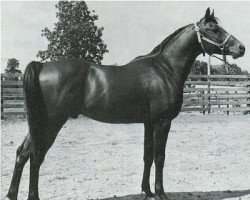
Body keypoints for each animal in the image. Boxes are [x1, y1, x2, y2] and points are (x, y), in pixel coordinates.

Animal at [5, 7, 244, 200]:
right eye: (214, 29)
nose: (240, 48)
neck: (164, 68)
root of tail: (42, 66)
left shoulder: (148, 123)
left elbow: (147, 155)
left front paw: (147, 191)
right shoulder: (162, 122)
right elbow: (159, 157)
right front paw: (161, 193)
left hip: (39, 123)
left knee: (23, 152)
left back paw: (11, 194)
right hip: (51, 123)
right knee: (36, 156)